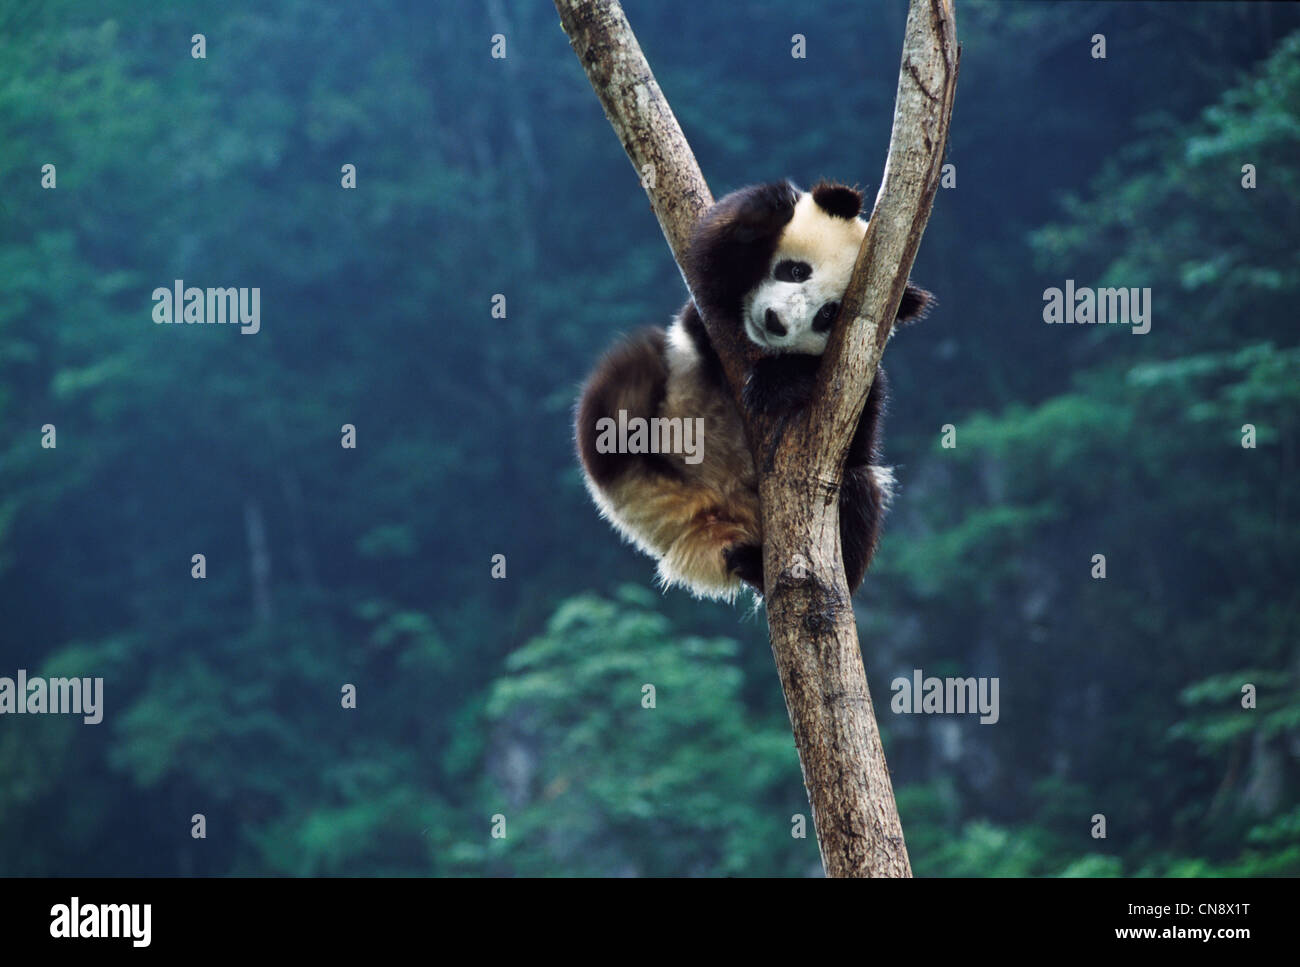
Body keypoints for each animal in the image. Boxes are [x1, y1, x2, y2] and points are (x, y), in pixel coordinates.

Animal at [575, 179, 931, 601]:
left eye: (827, 314)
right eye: (796, 270)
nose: (775, 322)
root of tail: (711, 509)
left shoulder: (857, 377)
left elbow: (856, 424)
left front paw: (777, 382)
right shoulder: (704, 317)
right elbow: (708, 263)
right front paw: (772, 205)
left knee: (859, 494)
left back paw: (756, 566)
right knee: (625, 383)